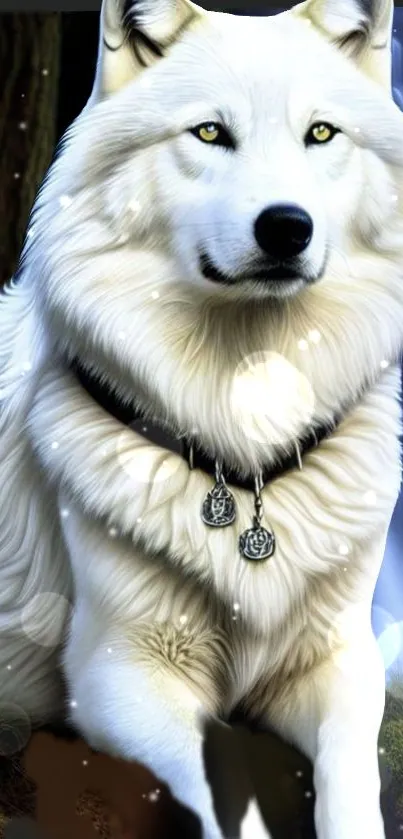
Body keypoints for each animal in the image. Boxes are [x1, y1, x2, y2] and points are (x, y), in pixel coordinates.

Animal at [0, 0, 403, 836]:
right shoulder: (118, 678)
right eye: (210, 132)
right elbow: (224, 805)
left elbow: (350, 788)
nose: (286, 227)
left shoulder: (337, 658)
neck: (244, 460)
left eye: (321, 133)